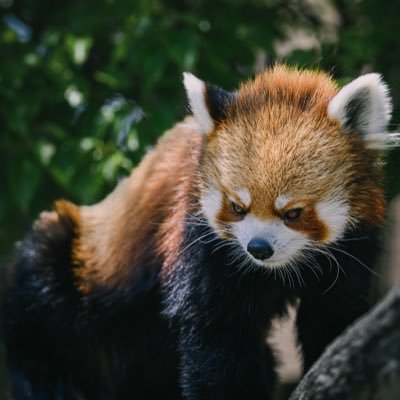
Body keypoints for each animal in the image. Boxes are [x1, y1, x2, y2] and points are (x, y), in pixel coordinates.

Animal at [1, 66, 398, 400]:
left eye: (293, 213)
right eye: (237, 207)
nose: (258, 249)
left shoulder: (355, 246)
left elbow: (333, 316)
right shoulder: (197, 240)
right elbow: (214, 331)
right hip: (81, 265)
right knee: (41, 299)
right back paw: (44, 379)